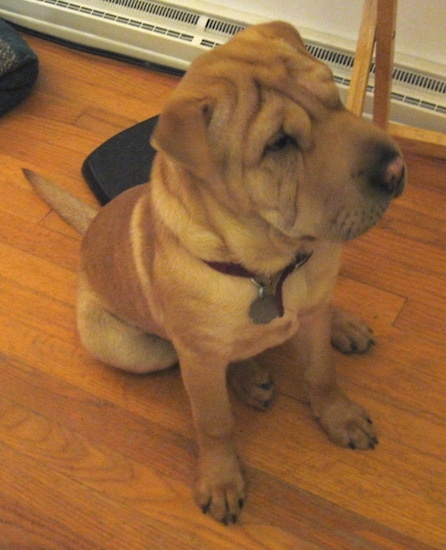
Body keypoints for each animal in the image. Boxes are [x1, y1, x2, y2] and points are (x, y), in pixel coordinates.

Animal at [26, 21, 406, 528]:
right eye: (278, 143)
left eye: (333, 94)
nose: (397, 169)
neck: (268, 269)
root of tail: (90, 228)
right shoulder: (201, 359)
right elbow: (214, 423)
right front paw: (221, 480)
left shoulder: (308, 312)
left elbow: (321, 373)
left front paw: (339, 416)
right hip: (134, 349)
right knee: (201, 356)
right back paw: (250, 375)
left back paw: (339, 326)